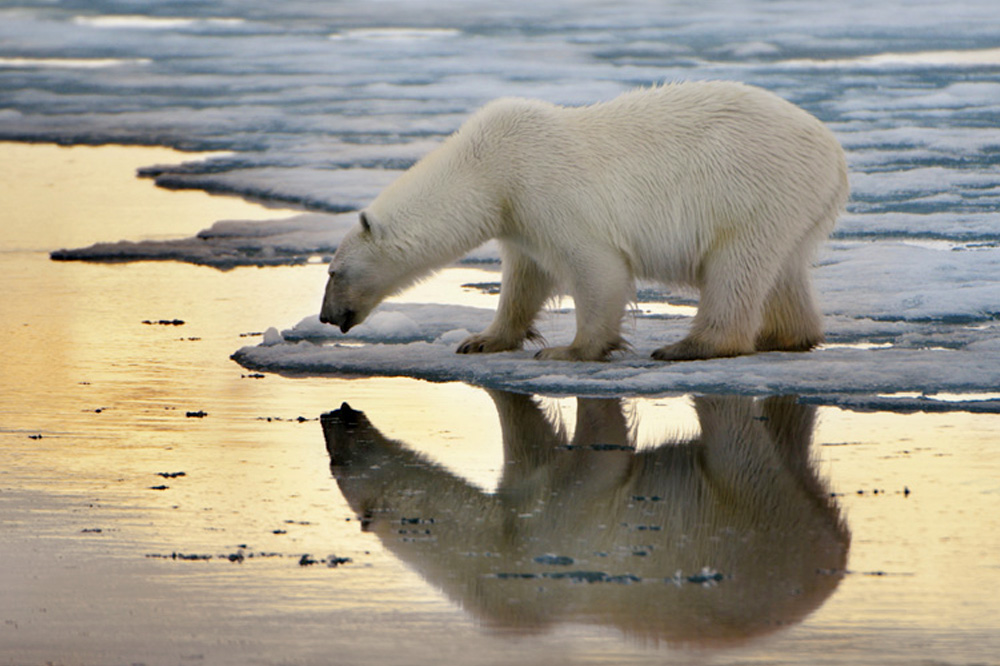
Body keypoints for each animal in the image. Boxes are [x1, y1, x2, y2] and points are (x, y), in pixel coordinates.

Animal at [318, 83, 844, 364]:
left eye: (333, 272)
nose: (325, 316)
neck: (488, 167)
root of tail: (834, 153)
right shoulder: (517, 216)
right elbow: (524, 278)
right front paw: (482, 340)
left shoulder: (544, 190)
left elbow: (597, 268)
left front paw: (568, 351)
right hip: (794, 206)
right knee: (783, 271)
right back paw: (784, 336)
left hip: (752, 189)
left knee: (736, 265)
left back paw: (690, 345)